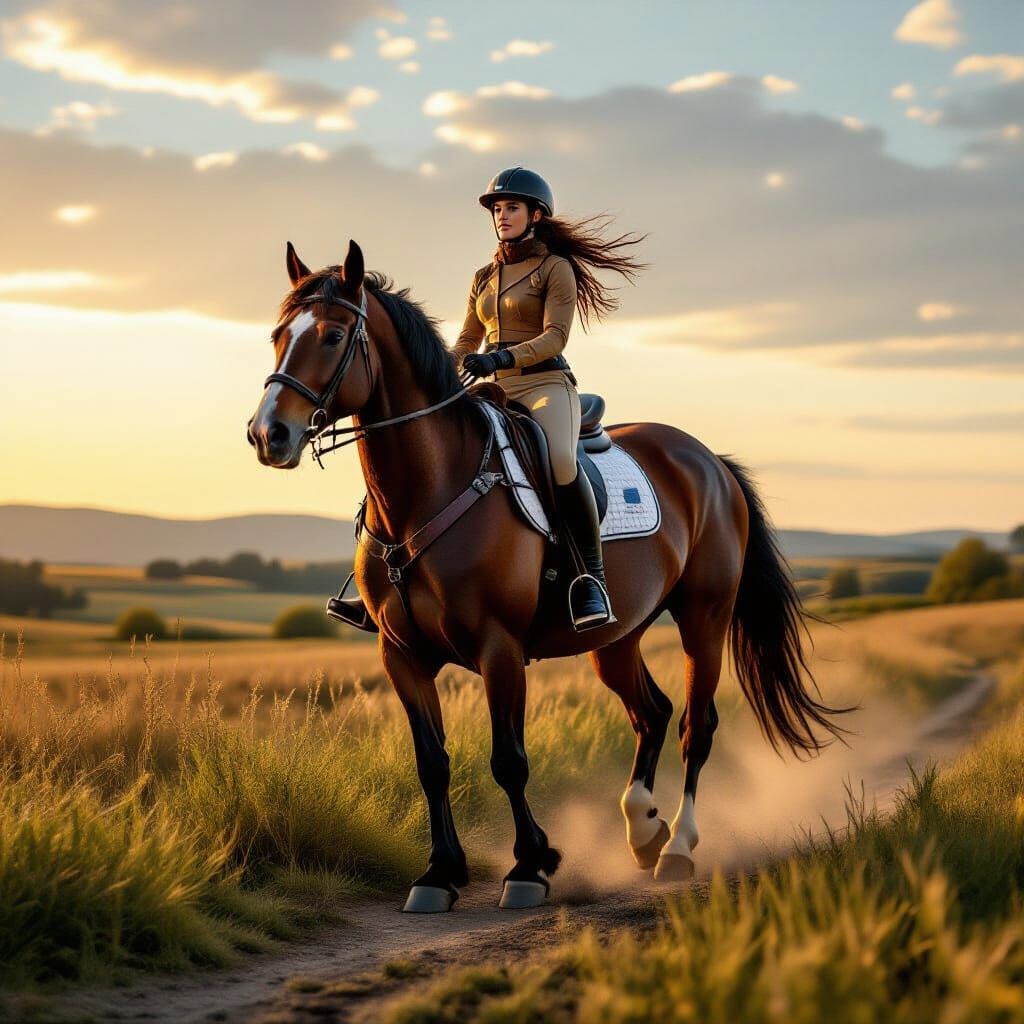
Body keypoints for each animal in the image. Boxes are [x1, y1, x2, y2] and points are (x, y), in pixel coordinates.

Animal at [247, 240, 850, 913]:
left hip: (705, 617)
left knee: (697, 726)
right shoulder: (401, 654)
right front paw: (438, 874)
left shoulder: (499, 649)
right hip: (615, 638)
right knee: (653, 713)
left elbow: (508, 759)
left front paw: (530, 867)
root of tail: (707, 461)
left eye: (331, 336)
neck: (429, 491)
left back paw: (677, 848)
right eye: (278, 335)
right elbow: (431, 762)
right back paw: (642, 830)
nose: (268, 434)